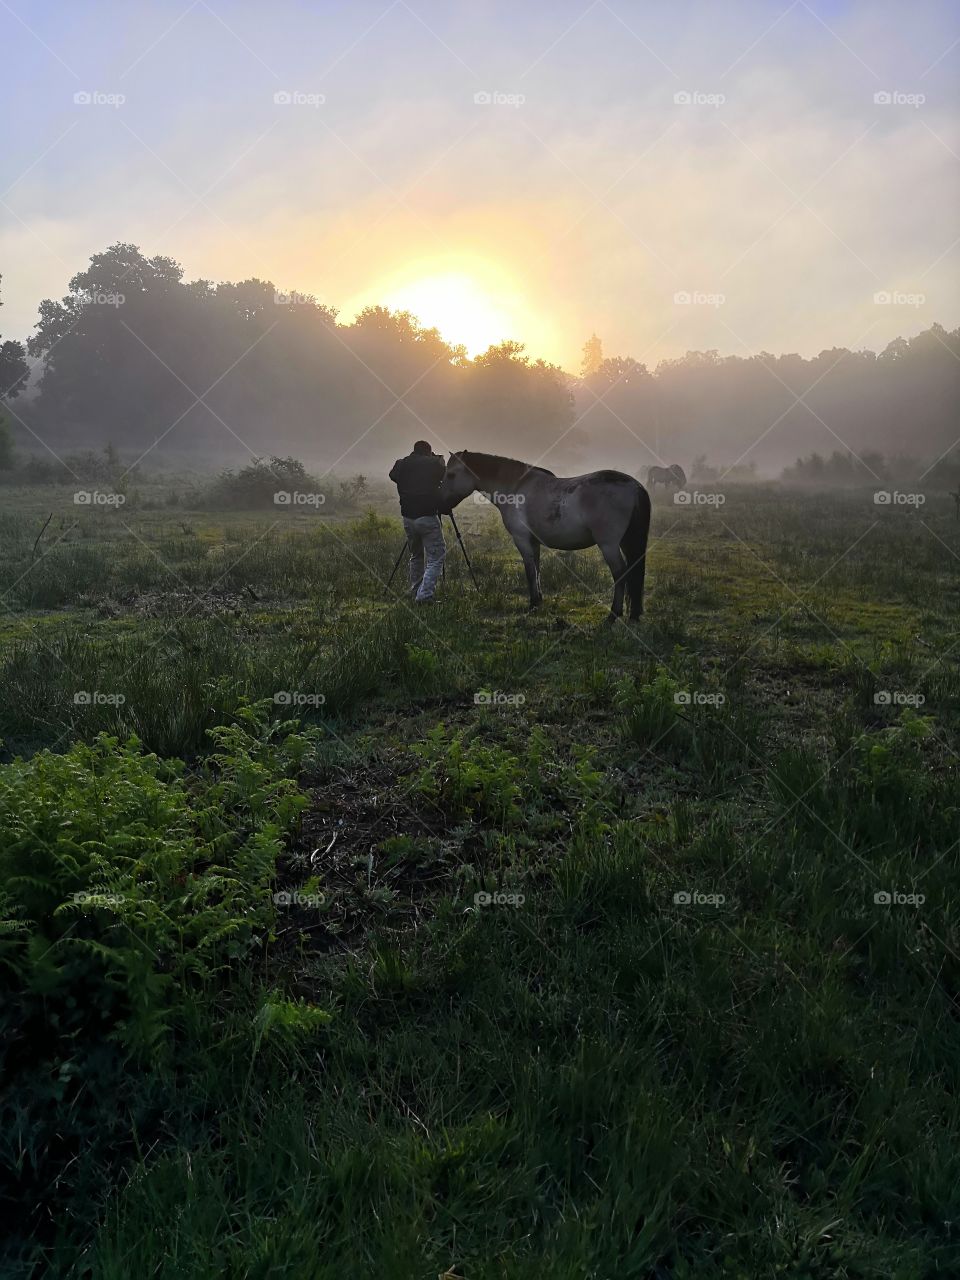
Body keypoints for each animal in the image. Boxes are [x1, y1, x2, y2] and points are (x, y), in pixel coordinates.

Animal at [437, 451, 651, 622]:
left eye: (451, 474)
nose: (440, 505)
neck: (515, 487)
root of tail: (635, 486)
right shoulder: (534, 542)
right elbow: (537, 569)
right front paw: (538, 600)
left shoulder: (522, 540)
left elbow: (530, 571)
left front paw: (532, 604)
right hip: (625, 543)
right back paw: (633, 614)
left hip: (609, 545)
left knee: (620, 573)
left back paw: (613, 615)